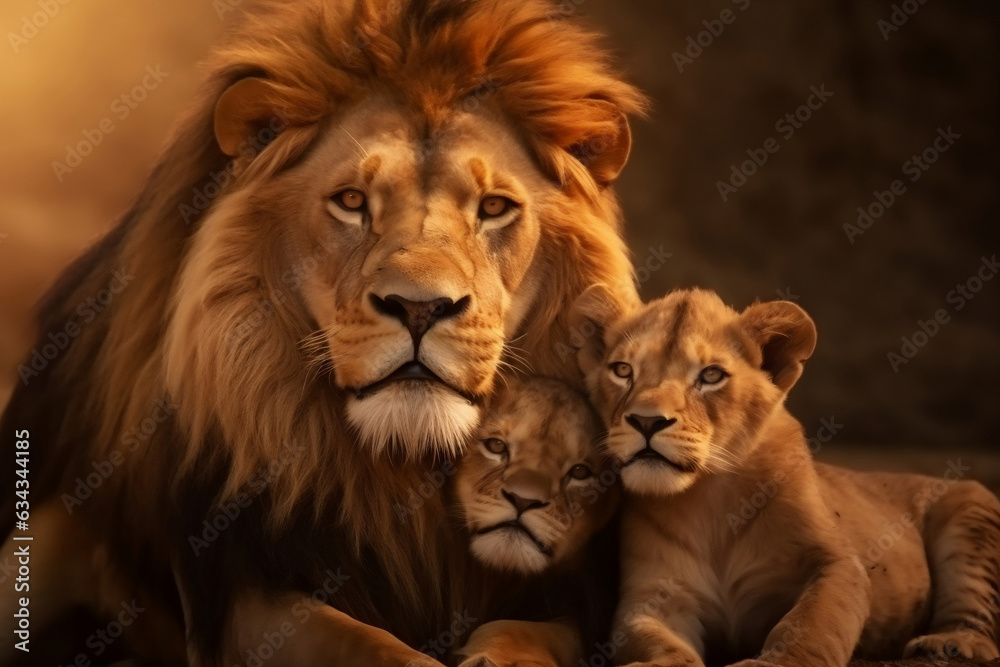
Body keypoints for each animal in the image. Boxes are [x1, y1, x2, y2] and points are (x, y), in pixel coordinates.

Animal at [569, 286, 1000, 667]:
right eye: (623, 370)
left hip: (970, 507)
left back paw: (949, 643)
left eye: (711, 375)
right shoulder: (655, 593)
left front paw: (773, 663)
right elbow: (657, 642)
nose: (646, 421)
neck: (710, 499)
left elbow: (809, 624)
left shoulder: (835, 564)